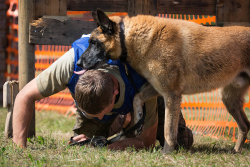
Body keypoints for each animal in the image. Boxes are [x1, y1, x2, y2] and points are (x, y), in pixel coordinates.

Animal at [76, 8, 250, 153]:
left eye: (94, 43)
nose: (78, 63)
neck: (134, 38)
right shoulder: (156, 88)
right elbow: (136, 98)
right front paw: (138, 120)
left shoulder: (171, 95)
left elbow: (168, 130)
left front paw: (166, 154)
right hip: (229, 100)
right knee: (245, 126)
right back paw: (236, 151)